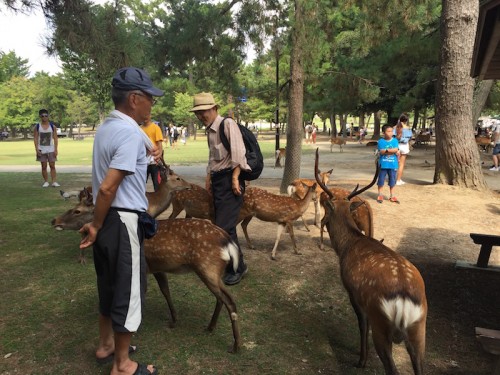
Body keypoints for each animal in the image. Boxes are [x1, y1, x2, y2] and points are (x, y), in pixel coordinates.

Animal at [312, 148, 426, 374]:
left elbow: (362, 324)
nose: (322, 221)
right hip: (420, 328)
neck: (347, 245)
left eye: (328, 208)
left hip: (381, 320)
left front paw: (361, 360)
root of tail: (405, 296)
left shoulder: (352, 292)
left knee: (391, 366)